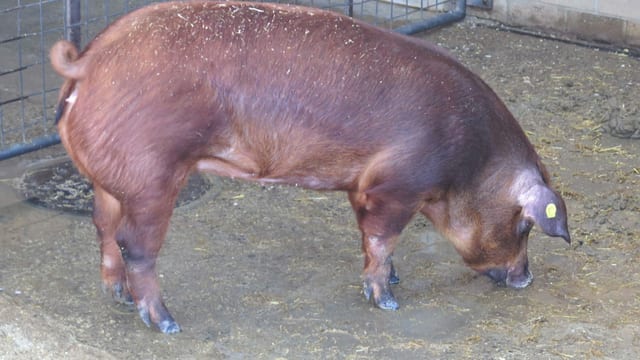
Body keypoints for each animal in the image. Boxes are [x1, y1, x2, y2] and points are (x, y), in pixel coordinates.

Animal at [51, 0, 568, 334]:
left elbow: (369, 238)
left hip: (112, 183)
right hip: (153, 177)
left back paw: (117, 297)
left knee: (103, 228)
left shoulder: (362, 187)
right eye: (525, 226)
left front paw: (394, 279)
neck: (468, 160)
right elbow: (383, 239)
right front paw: (389, 301)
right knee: (135, 246)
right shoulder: (396, 186)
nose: (526, 278)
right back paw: (167, 323)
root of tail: (88, 62)